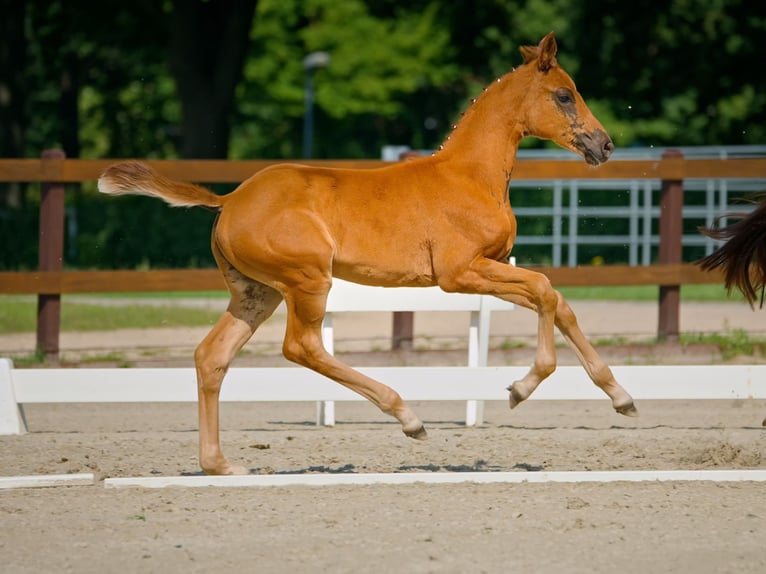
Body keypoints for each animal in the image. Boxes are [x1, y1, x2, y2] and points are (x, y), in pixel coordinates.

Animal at [98, 32, 638, 475]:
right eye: (564, 94)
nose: (605, 145)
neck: (469, 177)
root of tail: (229, 200)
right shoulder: (460, 273)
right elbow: (546, 292)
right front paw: (520, 389)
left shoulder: (492, 268)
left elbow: (558, 302)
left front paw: (622, 397)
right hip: (307, 281)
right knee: (302, 347)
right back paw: (409, 417)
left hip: (256, 293)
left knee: (212, 356)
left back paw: (220, 465)